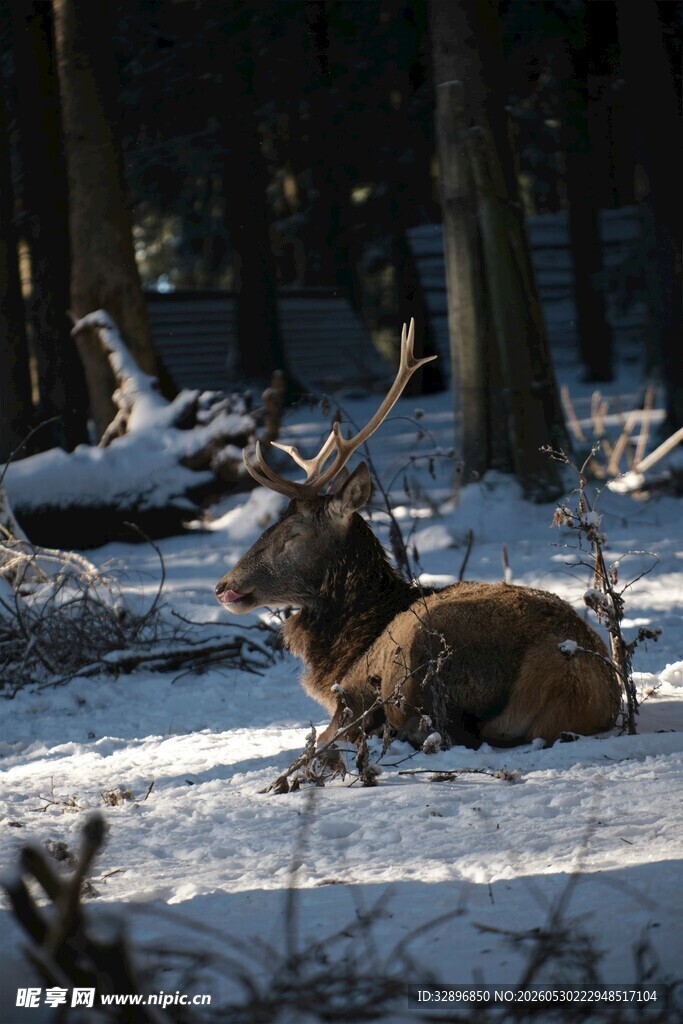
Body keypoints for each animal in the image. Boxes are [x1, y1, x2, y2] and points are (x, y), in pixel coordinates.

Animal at [215, 321, 621, 751]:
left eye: (291, 534)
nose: (223, 586)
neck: (343, 651)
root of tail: (567, 675)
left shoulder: (350, 696)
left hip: (420, 656)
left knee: (441, 730)